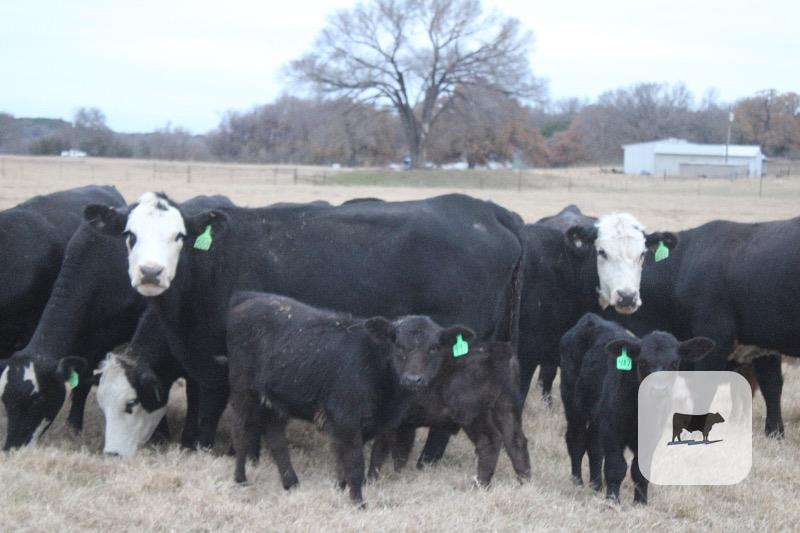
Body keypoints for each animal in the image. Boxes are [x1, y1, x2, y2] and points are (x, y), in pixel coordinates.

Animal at [87, 192, 525, 456]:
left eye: (178, 236)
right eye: (130, 235)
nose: (150, 272)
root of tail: (484, 209)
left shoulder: (222, 362)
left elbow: (215, 411)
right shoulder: (202, 361)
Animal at [226, 291, 475, 506]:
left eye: (434, 348)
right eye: (398, 345)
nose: (413, 379)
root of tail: (249, 299)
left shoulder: (387, 423)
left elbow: (375, 459)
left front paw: (351, 487)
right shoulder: (345, 418)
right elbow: (354, 462)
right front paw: (358, 502)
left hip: (275, 398)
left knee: (276, 437)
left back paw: (291, 483)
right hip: (242, 388)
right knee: (241, 430)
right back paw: (241, 479)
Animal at [367, 338, 531, 487]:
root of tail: (497, 349)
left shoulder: (388, 423)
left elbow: (378, 452)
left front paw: (370, 481)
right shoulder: (404, 425)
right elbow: (401, 452)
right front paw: (398, 475)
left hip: (472, 415)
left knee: (489, 441)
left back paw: (481, 484)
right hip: (505, 409)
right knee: (516, 441)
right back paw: (524, 480)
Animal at [560, 313, 714, 504]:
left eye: (674, 363)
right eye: (643, 362)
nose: (658, 390)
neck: (641, 412)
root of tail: (590, 318)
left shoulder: (652, 434)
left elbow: (640, 470)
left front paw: (640, 502)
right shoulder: (612, 429)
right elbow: (616, 466)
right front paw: (612, 500)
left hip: (597, 417)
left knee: (594, 446)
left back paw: (596, 485)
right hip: (573, 404)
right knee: (577, 439)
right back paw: (577, 481)